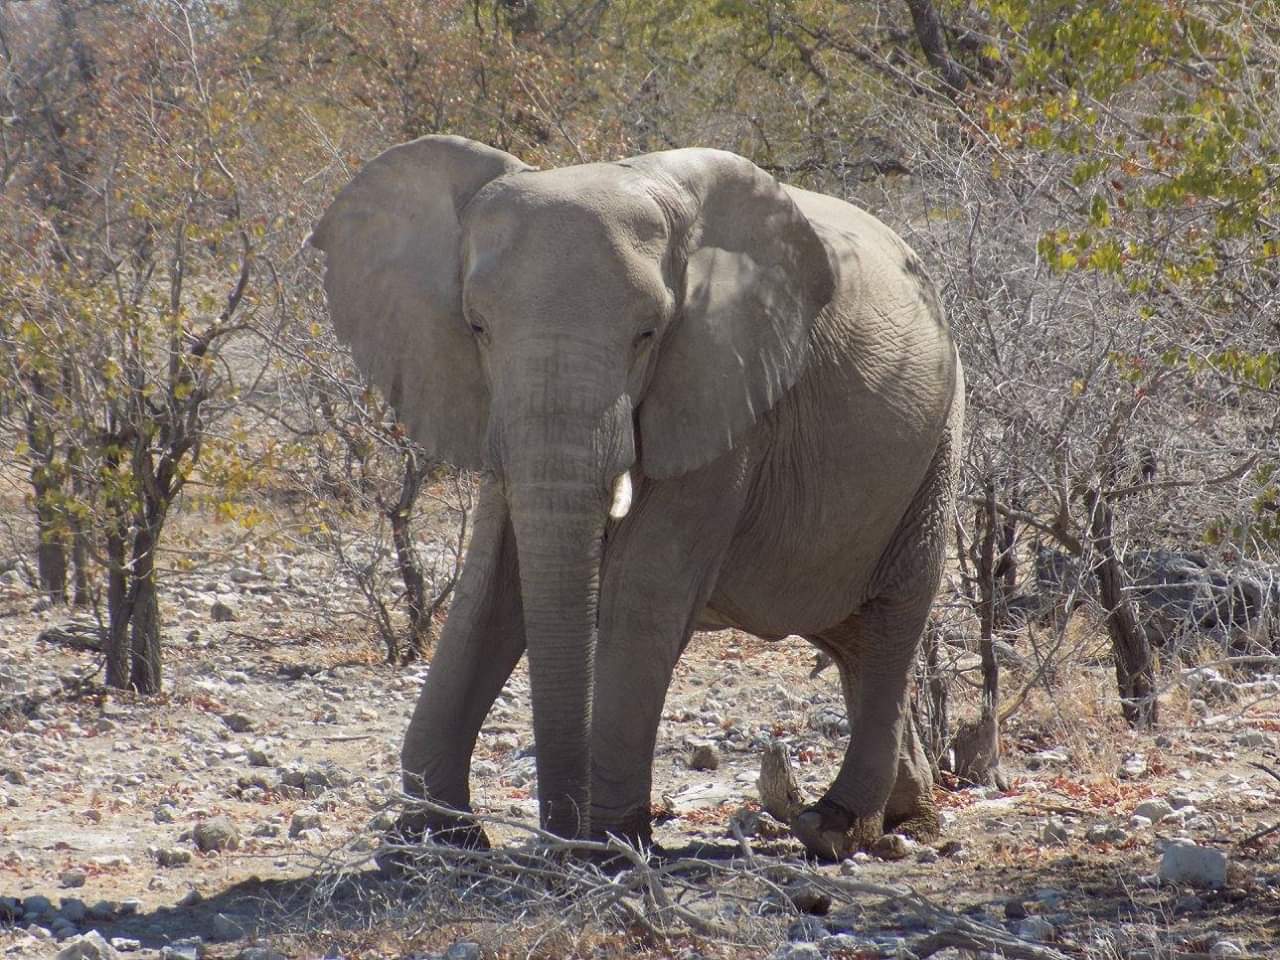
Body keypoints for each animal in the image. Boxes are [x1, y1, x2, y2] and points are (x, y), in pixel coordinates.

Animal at [310, 135, 964, 861]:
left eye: (648, 333)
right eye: (476, 327)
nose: (556, 834)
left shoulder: (725, 387)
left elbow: (643, 589)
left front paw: (609, 849)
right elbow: (492, 587)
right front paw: (435, 838)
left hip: (937, 440)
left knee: (892, 621)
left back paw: (836, 826)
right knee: (852, 642)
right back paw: (903, 813)